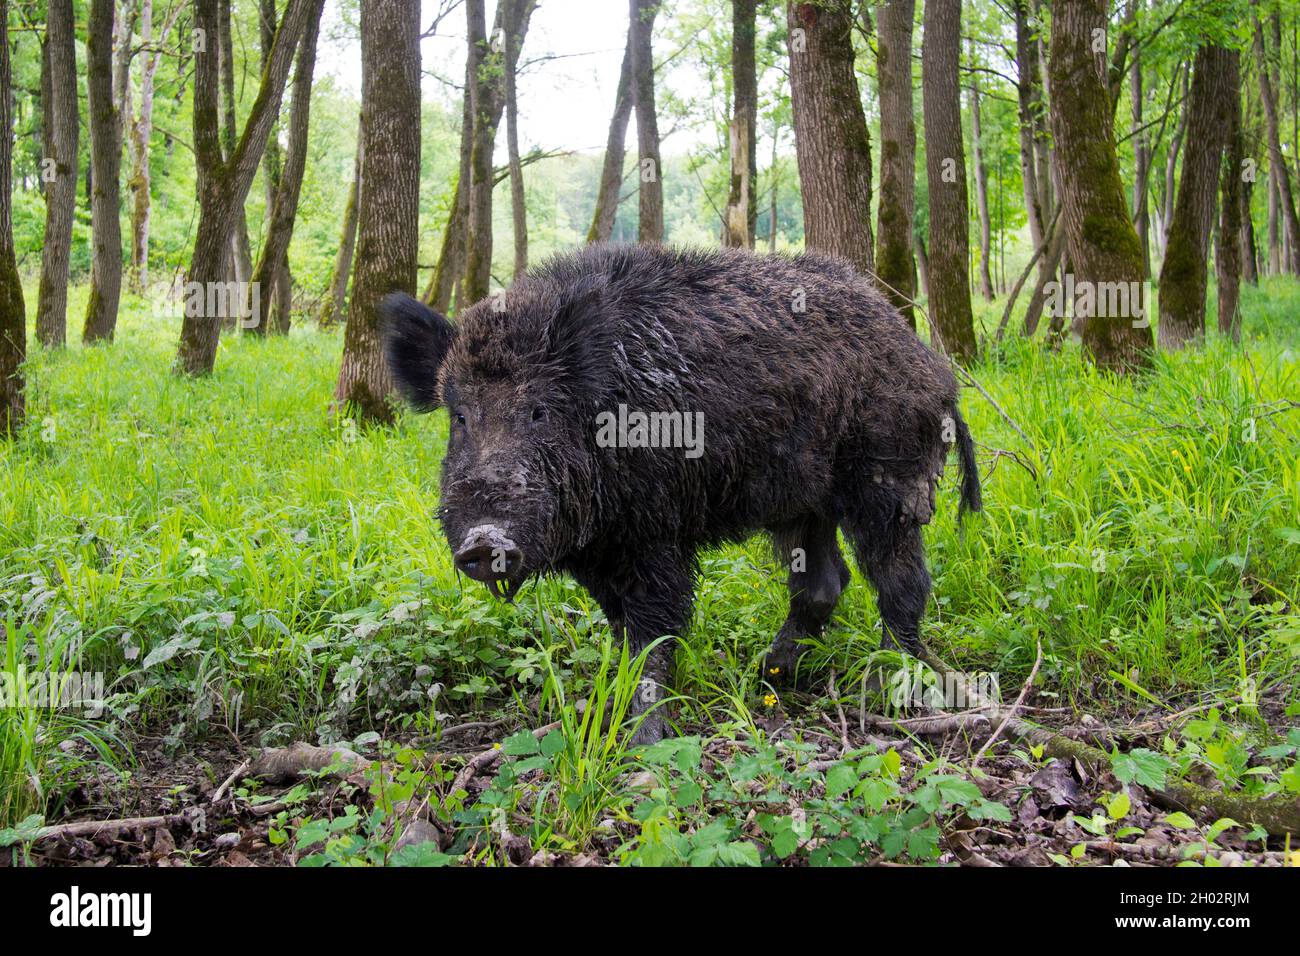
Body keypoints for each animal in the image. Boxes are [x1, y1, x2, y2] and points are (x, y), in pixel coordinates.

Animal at [382, 243, 980, 742]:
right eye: (459, 416)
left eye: (538, 411)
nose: (483, 540)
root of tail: (938, 373)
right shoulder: (600, 552)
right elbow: (621, 630)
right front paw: (602, 711)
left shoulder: (657, 534)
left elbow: (654, 632)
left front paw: (645, 740)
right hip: (803, 504)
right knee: (824, 583)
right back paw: (771, 675)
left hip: (889, 480)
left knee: (903, 581)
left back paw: (878, 687)